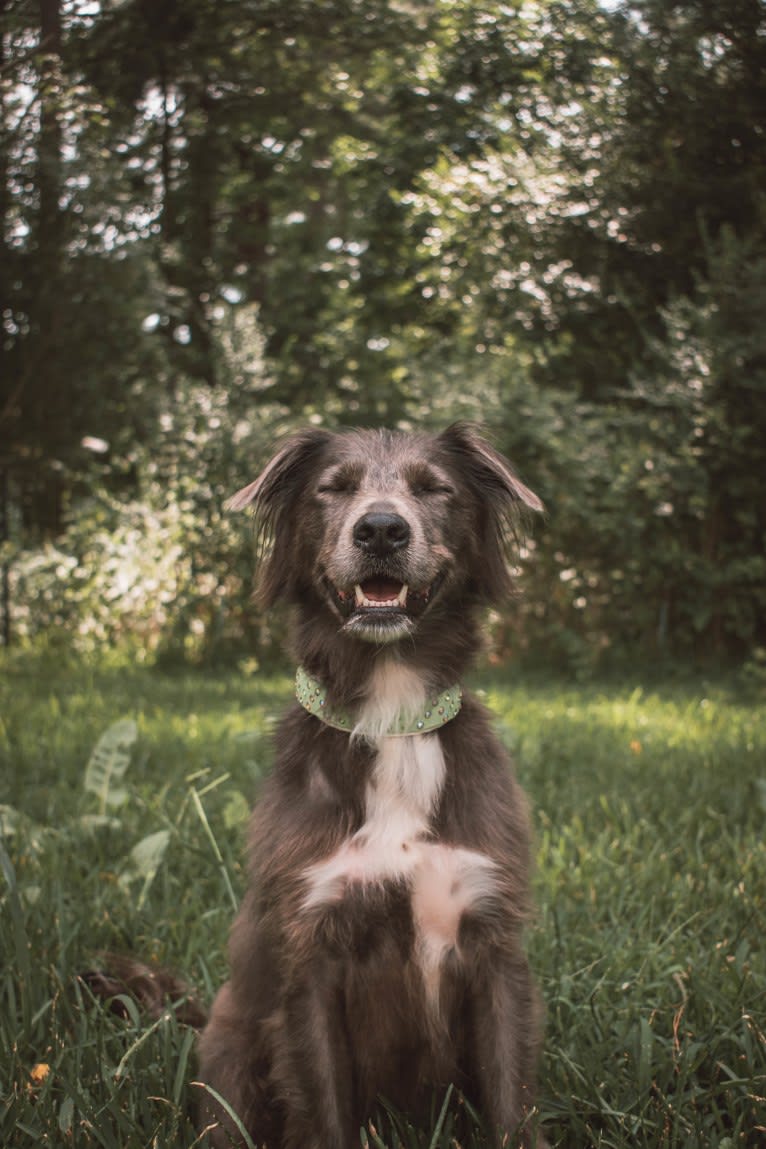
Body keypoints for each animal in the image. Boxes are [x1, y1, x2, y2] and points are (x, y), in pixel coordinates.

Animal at [195, 425, 548, 1149]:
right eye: (333, 487)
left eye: (434, 488)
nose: (381, 530)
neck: (392, 717)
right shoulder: (311, 960)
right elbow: (324, 1107)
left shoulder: (494, 946)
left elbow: (510, 1102)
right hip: (227, 1054)